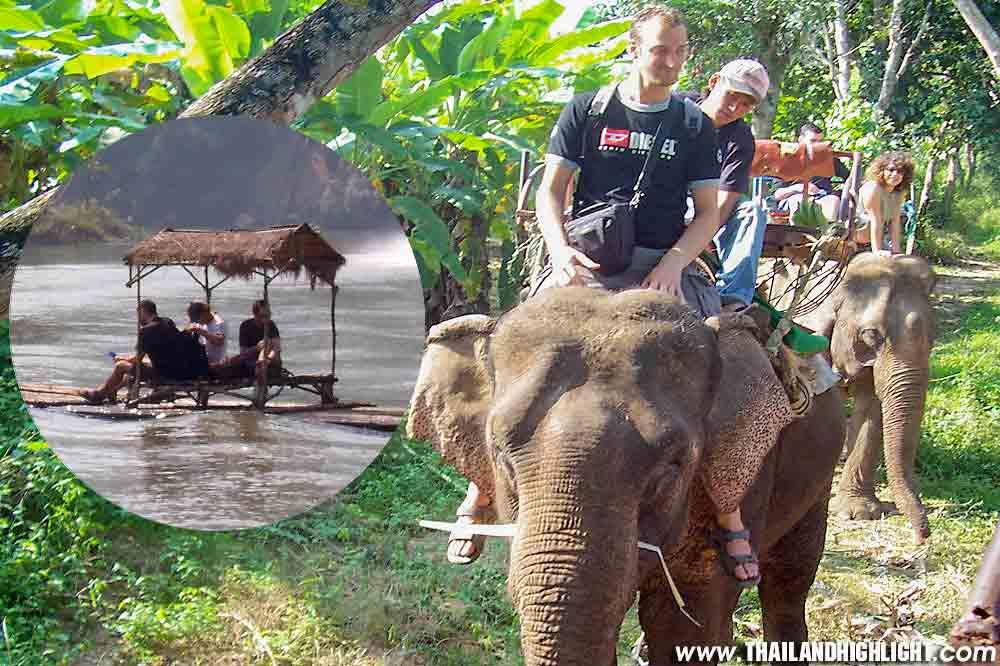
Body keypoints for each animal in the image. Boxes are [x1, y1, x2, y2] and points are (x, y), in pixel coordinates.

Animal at [406, 286, 844, 664]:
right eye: (502, 460)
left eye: (670, 467)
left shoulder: (744, 474)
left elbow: (686, 627)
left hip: (819, 475)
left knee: (788, 581)